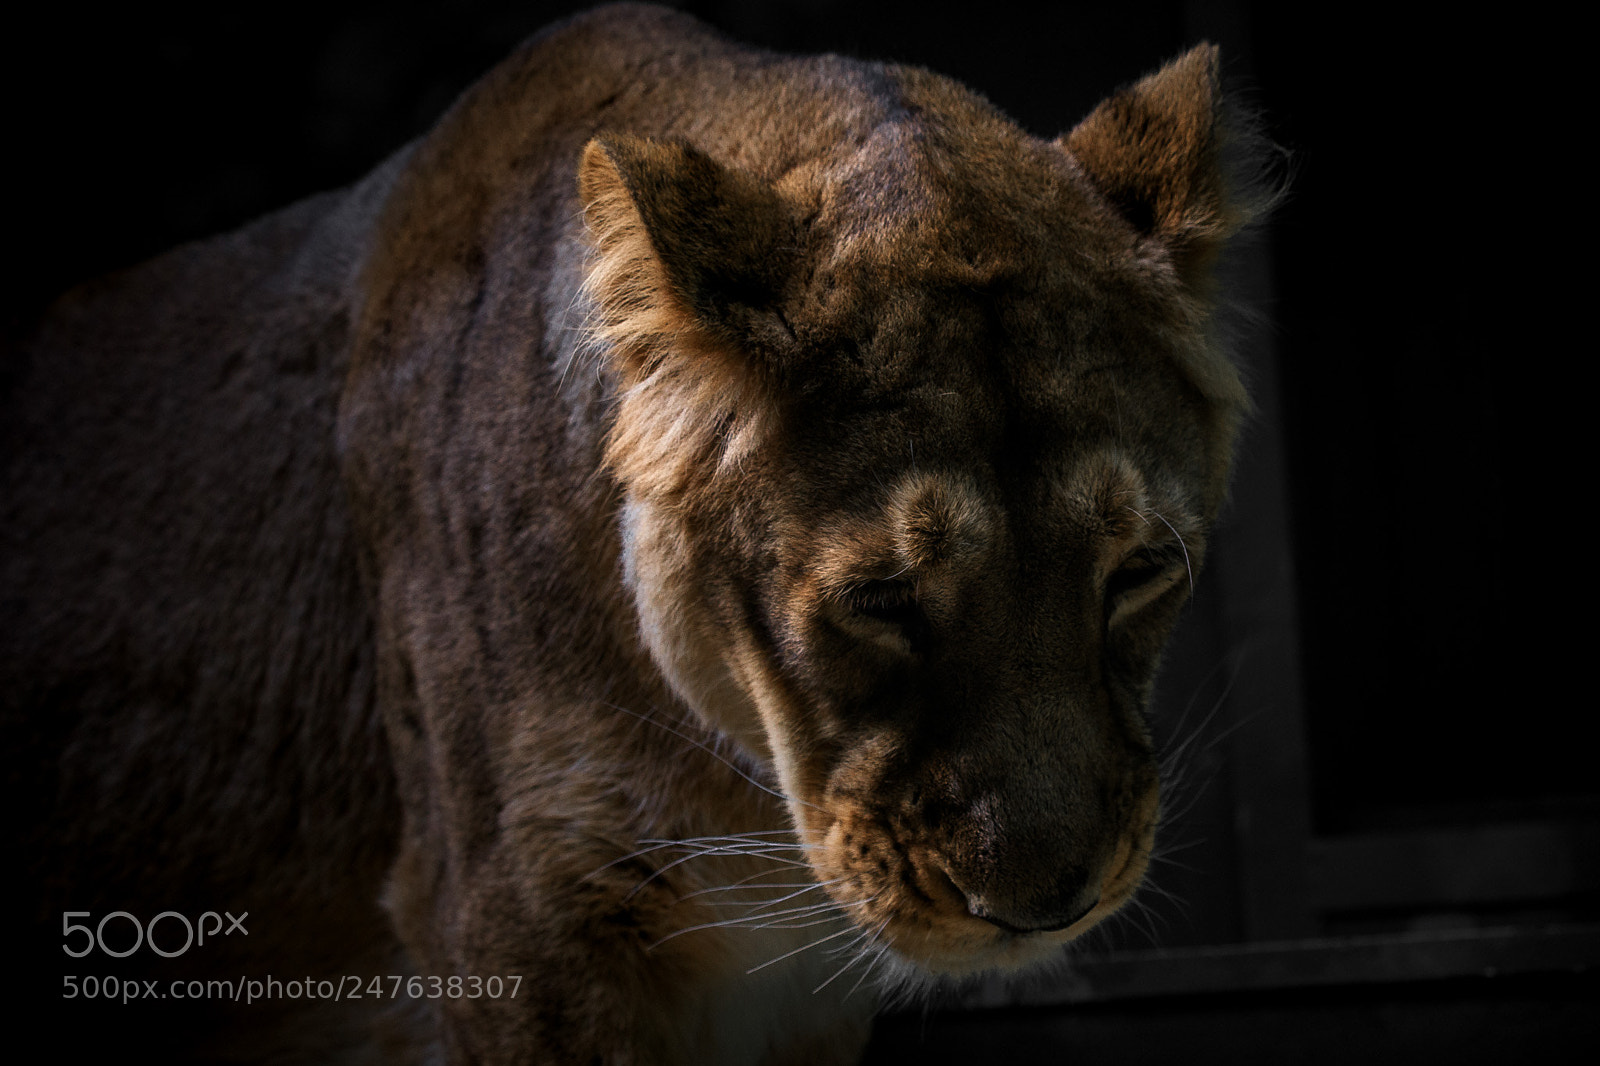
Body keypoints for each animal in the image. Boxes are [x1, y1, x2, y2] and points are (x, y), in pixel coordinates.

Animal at [3, 4, 1274, 1062]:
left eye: (1138, 572)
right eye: (879, 602)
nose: (1041, 906)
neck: (742, 793)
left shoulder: (791, 994)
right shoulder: (517, 921)